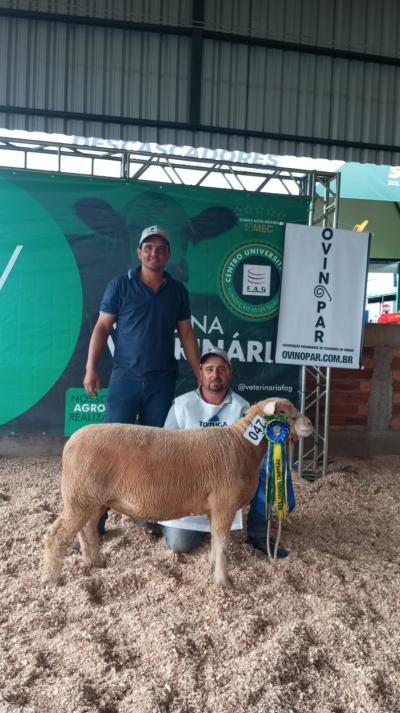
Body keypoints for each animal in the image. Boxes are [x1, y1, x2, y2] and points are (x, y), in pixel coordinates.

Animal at [43, 398, 312, 588]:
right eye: (285, 413)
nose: (310, 424)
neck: (241, 445)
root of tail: (71, 442)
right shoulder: (224, 503)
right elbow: (223, 544)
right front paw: (224, 582)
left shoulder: (214, 507)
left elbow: (215, 541)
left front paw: (212, 565)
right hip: (80, 496)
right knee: (57, 535)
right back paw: (51, 579)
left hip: (93, 499)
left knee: (87, 529)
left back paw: (95, 562)